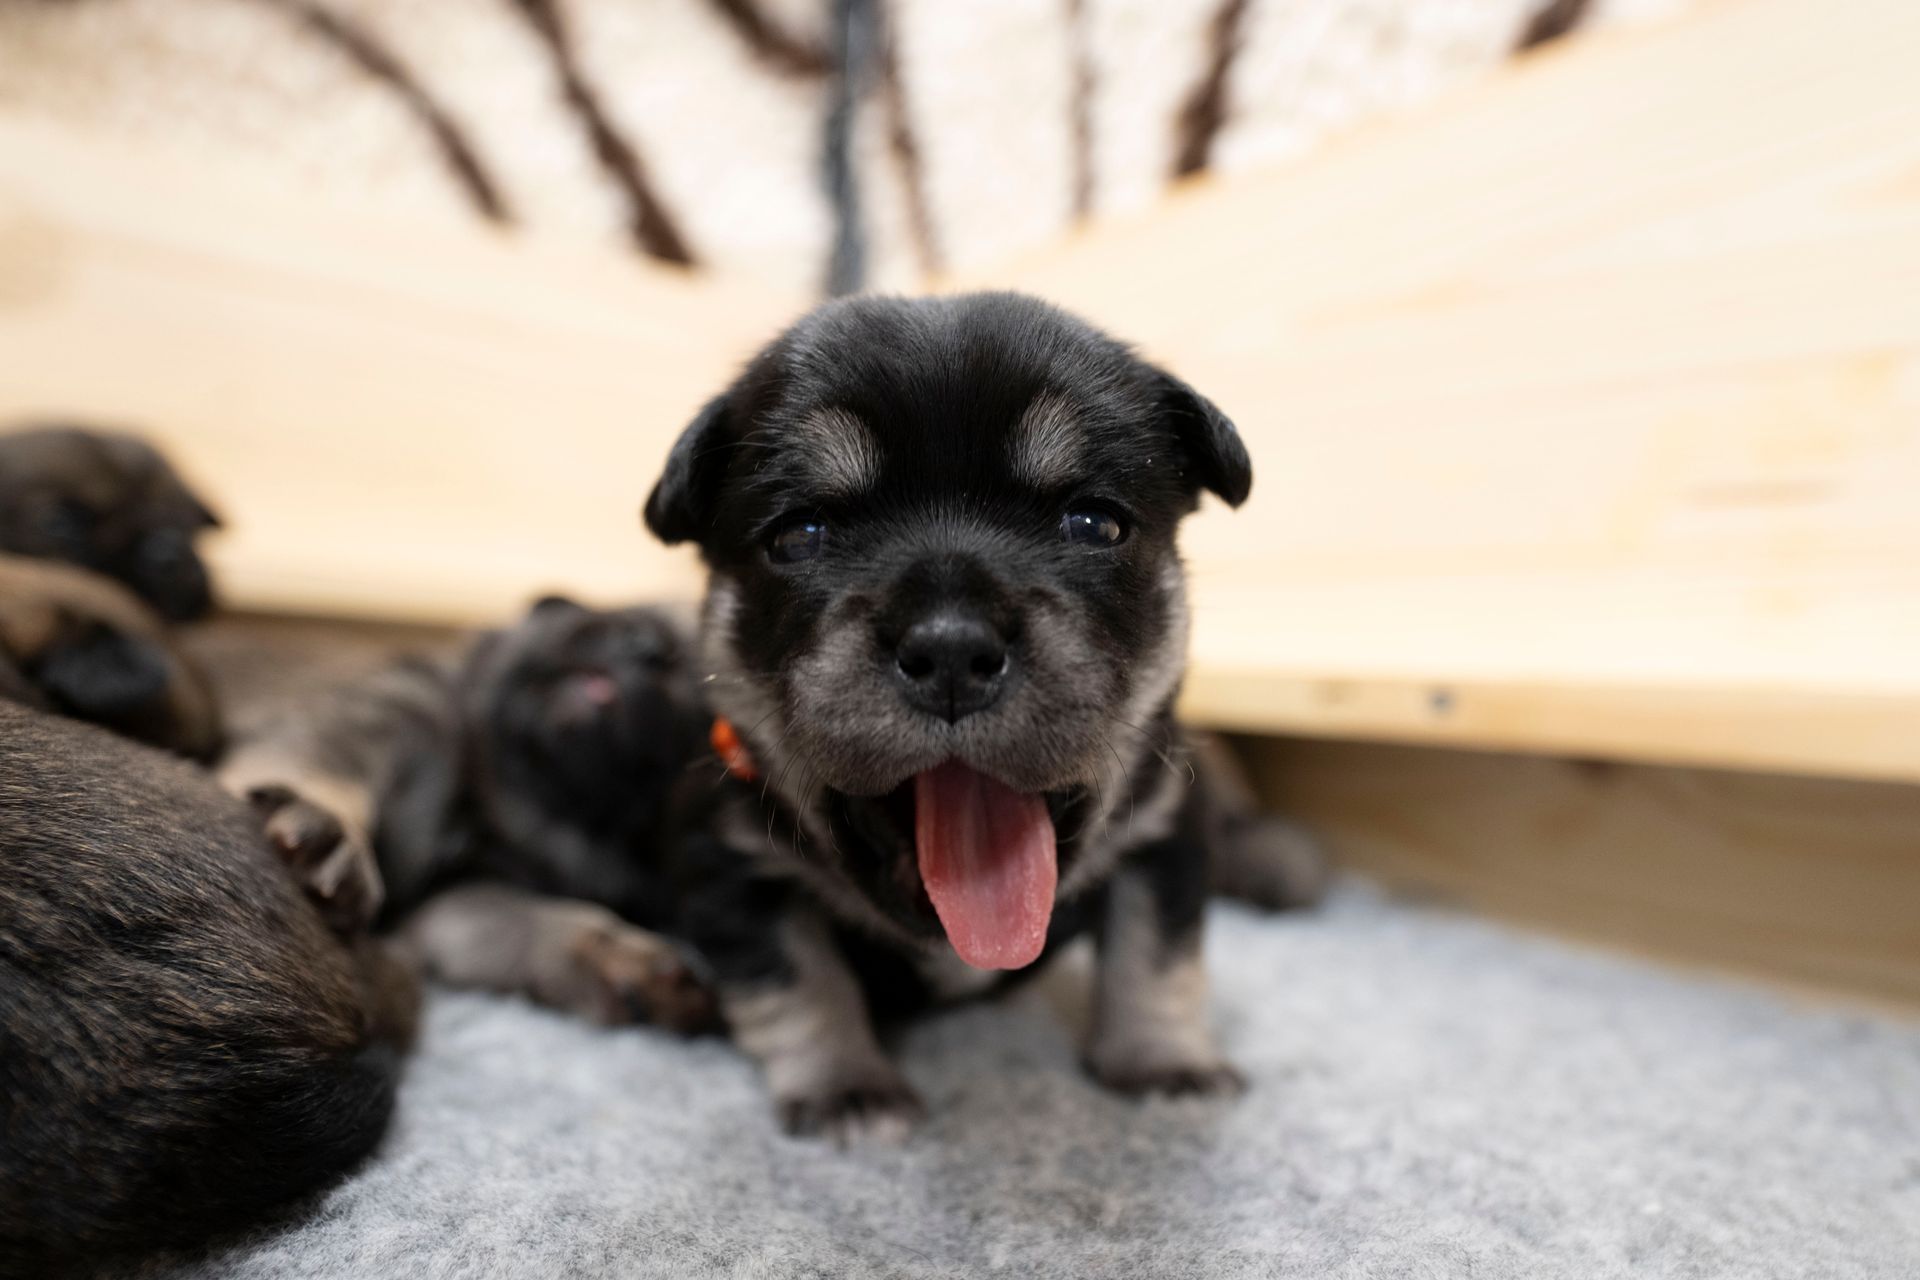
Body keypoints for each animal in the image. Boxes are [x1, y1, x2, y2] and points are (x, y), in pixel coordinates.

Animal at [217, 596, 718, 1031]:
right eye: (621, 617)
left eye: (688, 678)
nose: (647, 648)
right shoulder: (385, 716)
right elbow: (327, 770)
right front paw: (326, 827)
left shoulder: (456, 897)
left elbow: (536, 919)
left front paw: (627, 962)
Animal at [642, 291, 1274, 1140]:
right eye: (799, 536)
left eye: (1095, 524)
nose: (950, 650)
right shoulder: (729, 863)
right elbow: (797, 979)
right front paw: (847, 1087)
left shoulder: (1166, 831)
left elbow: (1155, 955)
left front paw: (1164, 1063)